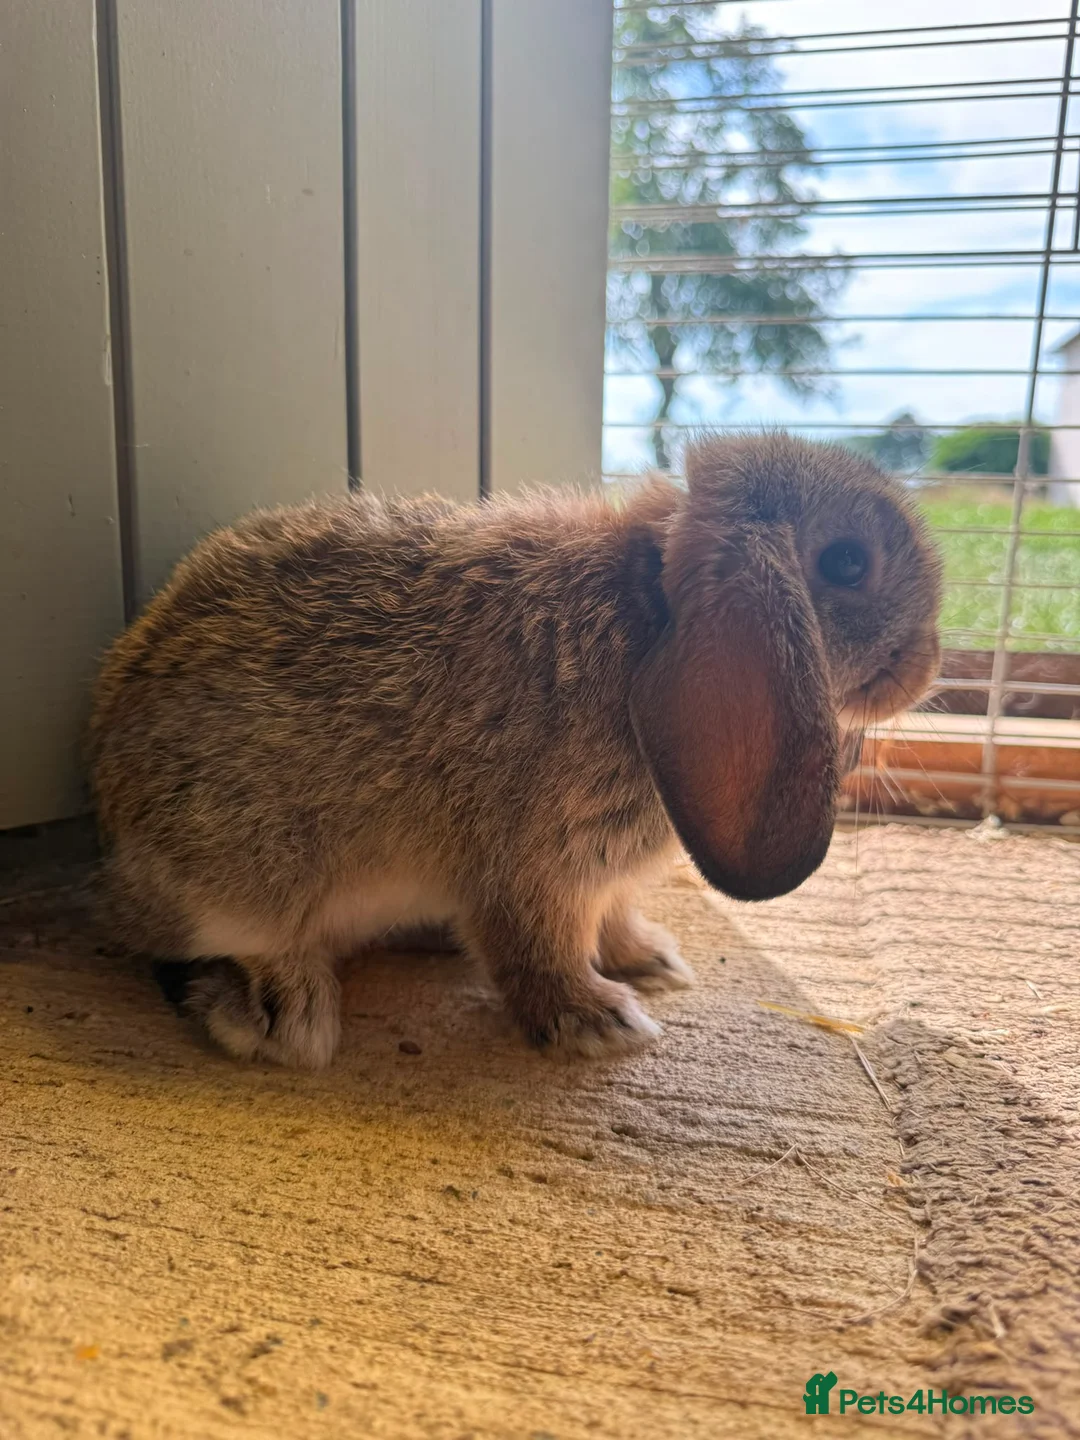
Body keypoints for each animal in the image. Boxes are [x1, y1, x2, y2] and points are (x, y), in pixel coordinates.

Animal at [89, 433, 942, 1069]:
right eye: (846, 563)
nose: (928, 666)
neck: (646, 623)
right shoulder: (534, 865)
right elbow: (539, 948)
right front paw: (600, 1022)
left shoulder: (598, 879)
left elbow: (612, 918)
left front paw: (650, 961)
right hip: (247, 871)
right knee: (234, 944)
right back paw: (286, 1012)